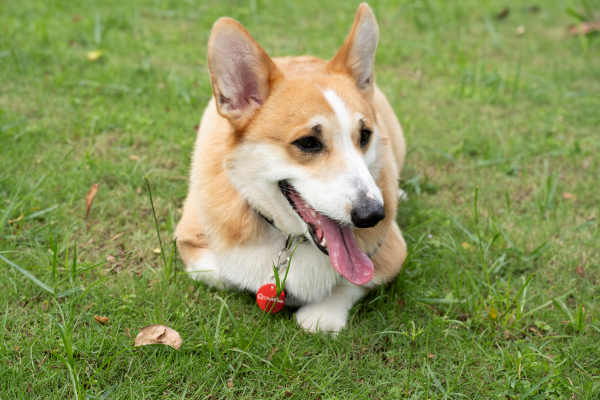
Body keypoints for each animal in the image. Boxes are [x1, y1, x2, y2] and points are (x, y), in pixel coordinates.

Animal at [175, 3, 408, 332]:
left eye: (365, 135)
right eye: (308, 142)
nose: (373, 215)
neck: (290, 238)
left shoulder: (392, 252)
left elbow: (356, 282)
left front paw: (322, 314)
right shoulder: (191, 244)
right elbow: (225, 273)